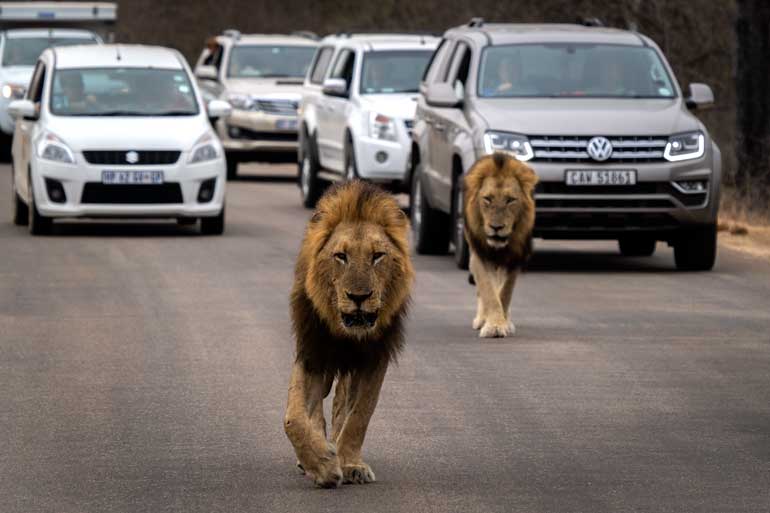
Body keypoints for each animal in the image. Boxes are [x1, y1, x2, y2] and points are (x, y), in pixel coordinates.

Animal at [284, 181, 414, 488]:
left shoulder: (374, 358)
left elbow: (359, 415)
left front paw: (350, 463)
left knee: (342, 407)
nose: (359, 297)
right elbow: (294, 419)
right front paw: (323, 465)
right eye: (341, 256)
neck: (347, 334)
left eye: (377, 256)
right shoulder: (312, 352)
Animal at [462, 151, 536, 336]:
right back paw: (481, 319)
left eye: (510, 200)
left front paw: (502, 323)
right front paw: (493, 325)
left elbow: (505, 292)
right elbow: (488, 290)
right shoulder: (480, 254)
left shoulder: (515, 258)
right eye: (487, 199)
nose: (496, 227)